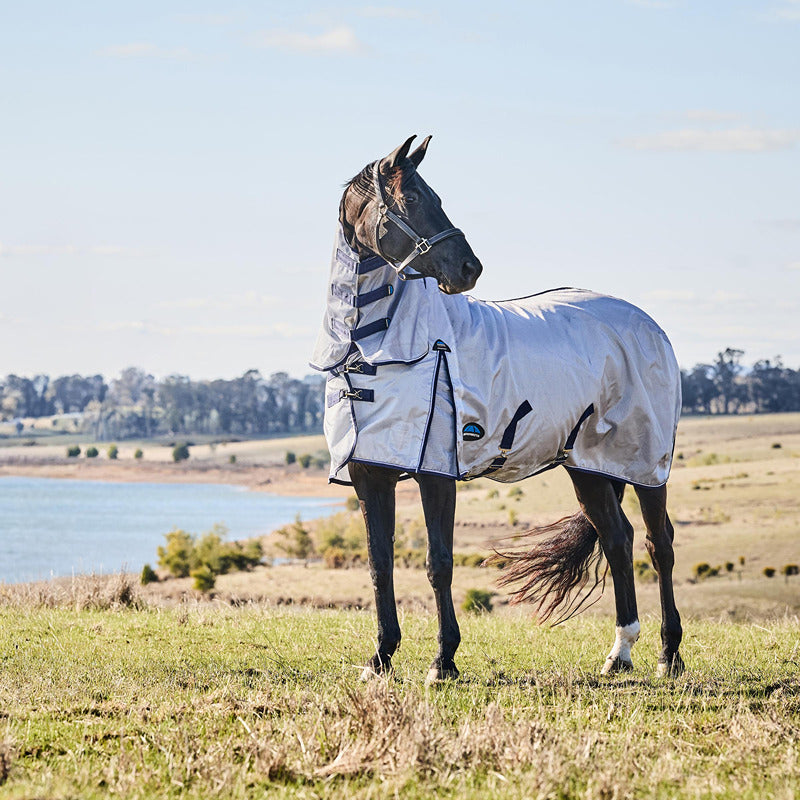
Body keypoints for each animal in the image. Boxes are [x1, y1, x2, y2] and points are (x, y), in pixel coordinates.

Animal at [311, 135, 684, 684]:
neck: (378, 350)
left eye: (434, 195)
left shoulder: (435, 473)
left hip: (644, 462)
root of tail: (650, 325)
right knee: (617, 540)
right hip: (588, 466)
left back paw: (669, 655)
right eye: (413, 198)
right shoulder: (370, 475)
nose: (470, 269)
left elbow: (438, 563)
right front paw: (380, 658)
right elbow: (379, 566)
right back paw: (620, 653)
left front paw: (443, 661)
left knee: (660, 545)